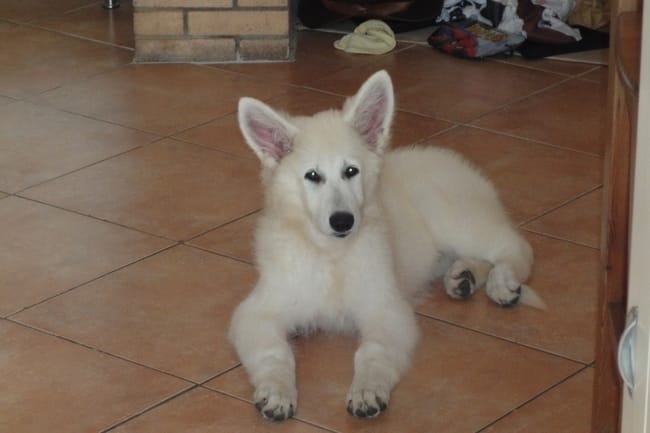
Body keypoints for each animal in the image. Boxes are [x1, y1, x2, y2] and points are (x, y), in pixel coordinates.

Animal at [229, 70, 539, 421]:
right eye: (312, 176)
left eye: (351, 171)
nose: (342, 221)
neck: (331, 255)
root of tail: (453, 160)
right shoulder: (258, 312)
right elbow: (275, 352)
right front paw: (276, 392)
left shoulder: (386, 310)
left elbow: (372, 352)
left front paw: (367, 391)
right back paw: (464, 277)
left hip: (456, 221)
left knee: (515, 245)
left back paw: (502, 283)